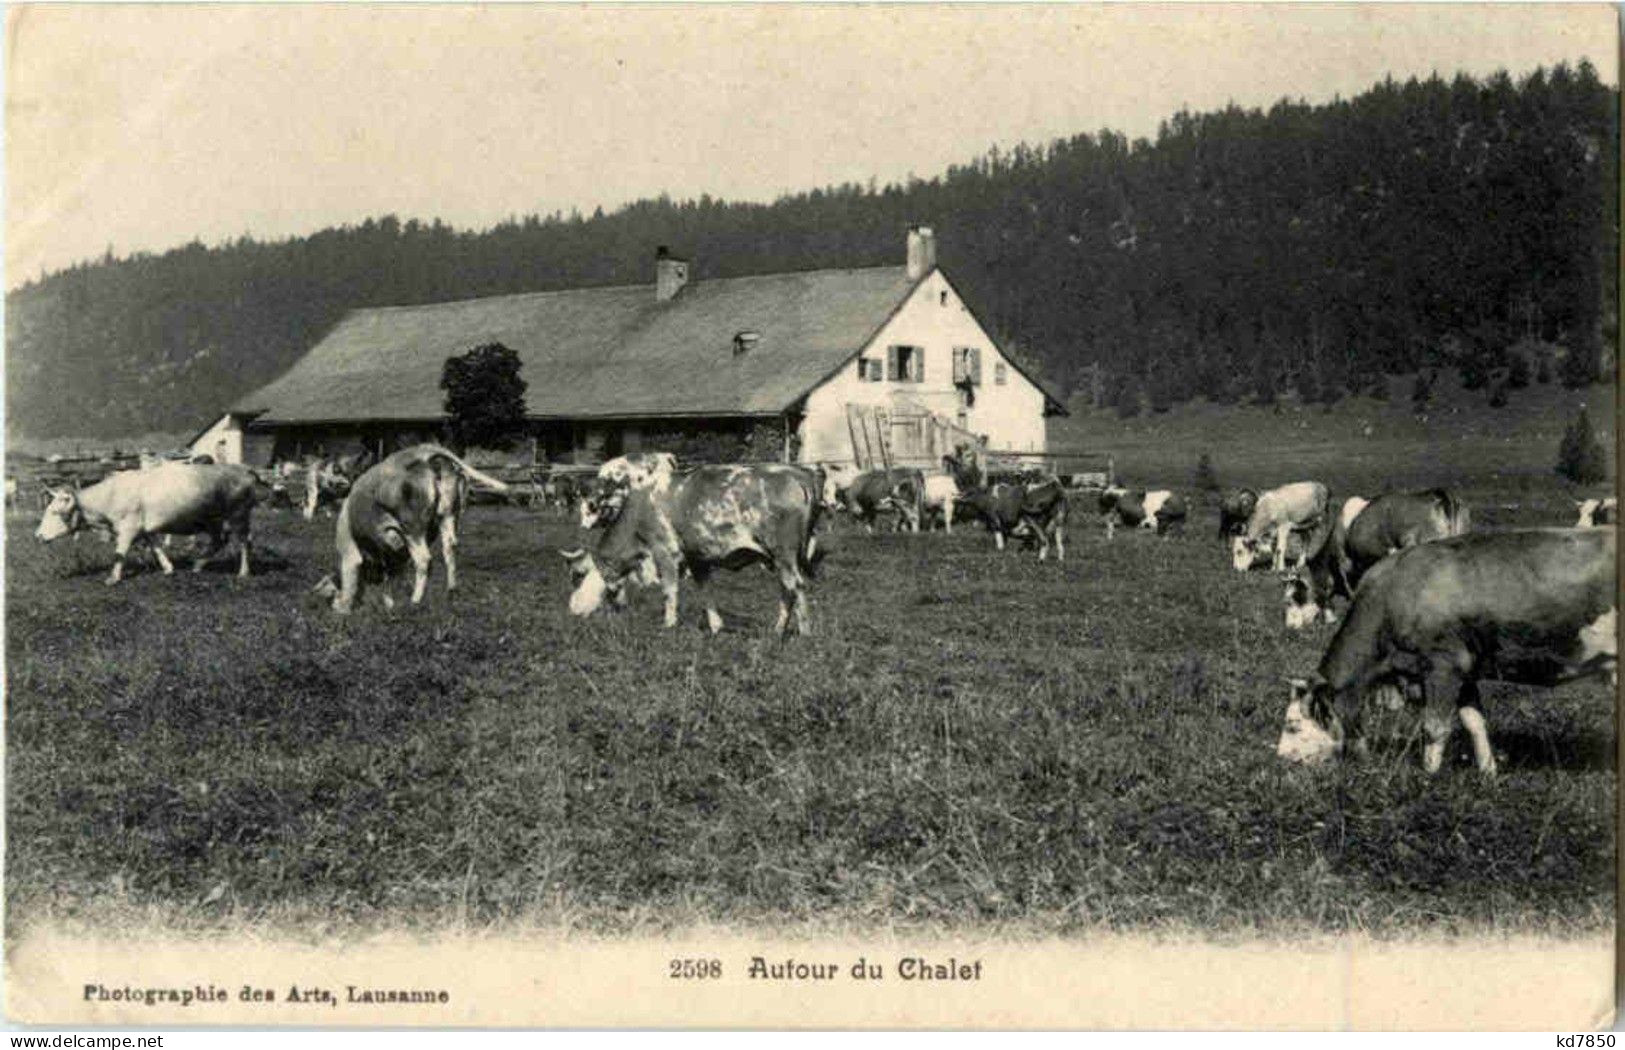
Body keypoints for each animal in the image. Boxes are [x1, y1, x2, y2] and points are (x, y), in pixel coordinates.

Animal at [34, 464, 260, 588]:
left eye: (54, 512)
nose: (38, 535)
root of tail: (243, 469)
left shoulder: (128, 528)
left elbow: (120, 553)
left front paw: (113, 578)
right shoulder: (145, 529)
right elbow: (156, 548)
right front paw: (168, 568)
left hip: (238, 515)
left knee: (244, 542)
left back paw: (243, 572)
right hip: (213, 519)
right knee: (220, 540)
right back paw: (198, 565)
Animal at [307, 445, 503, 617]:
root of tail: (423, 455)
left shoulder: (350, 550)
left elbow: (353, 578)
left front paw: (343, 610)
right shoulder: (395, 552)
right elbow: (392, 576)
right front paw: (389, 604)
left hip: (412, 527)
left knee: (424, 559)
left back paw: (415, 601)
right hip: (448, 516)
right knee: (450, 549)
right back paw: (450, 592)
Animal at [555, 464, 819, 637]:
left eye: (576, 576)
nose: (572, 609)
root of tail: (794, 474)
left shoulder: (665, 551)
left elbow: (669, 591)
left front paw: (669, 624)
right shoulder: (697, 558)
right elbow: (706, 591)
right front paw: (716, 626)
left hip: (783, 553)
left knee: (797, 586)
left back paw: (804, 632)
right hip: (779, 558)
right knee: (786, 589)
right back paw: (778, 629)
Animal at [1280, 529, 1612, 776]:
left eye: (1293, 725)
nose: (1281, 759)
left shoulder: (1442, 665)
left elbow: (1435, 727)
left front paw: (1428, 777)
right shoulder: (1465, 670)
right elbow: (1474, 722)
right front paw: (1488, 773)